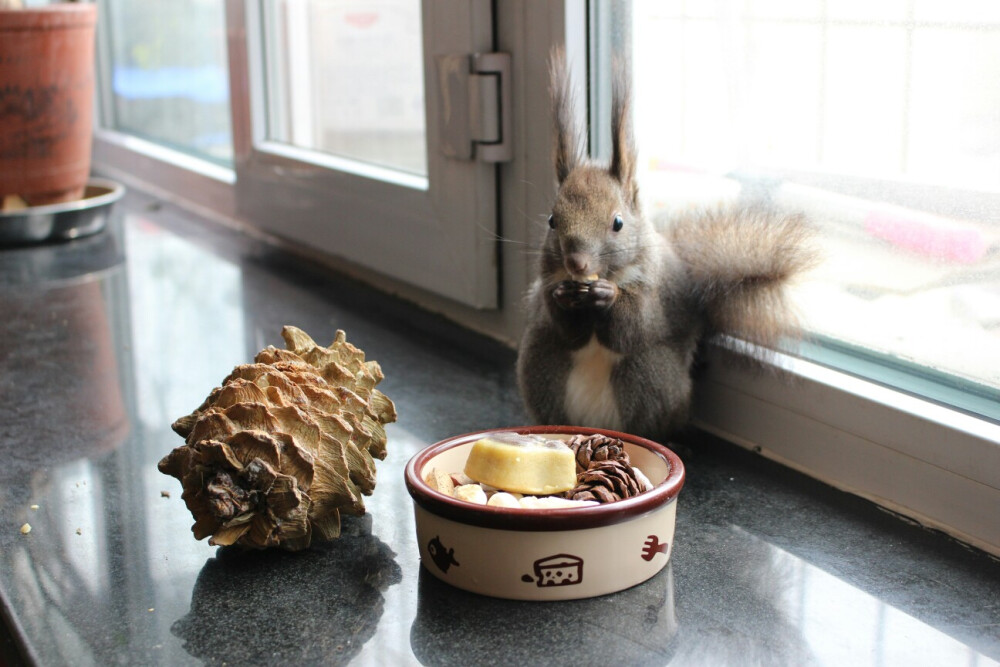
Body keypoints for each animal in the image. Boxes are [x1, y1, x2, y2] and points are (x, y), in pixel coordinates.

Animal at [520, 49, 816, 440]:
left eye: (618, 223)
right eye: (553, 221)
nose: (578, 263)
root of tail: (594, 424)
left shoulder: (654, 291)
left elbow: (636, 326)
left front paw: (608, 297)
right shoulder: (548, 283)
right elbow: (564, 328)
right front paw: (563, 297)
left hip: (648, 375)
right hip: (542, 365)